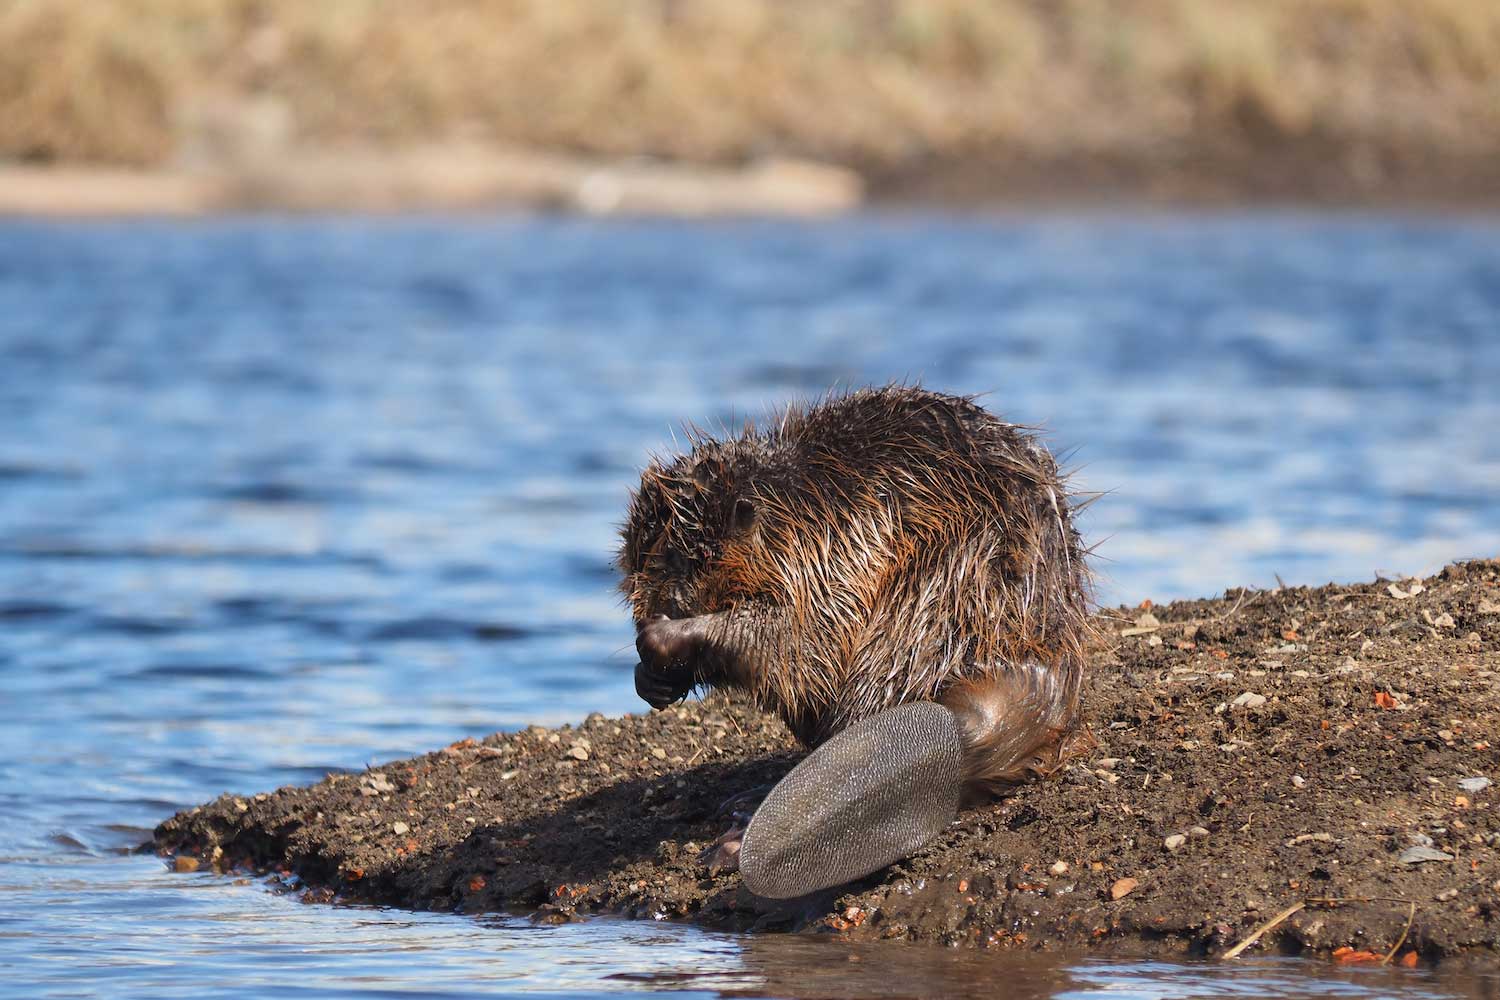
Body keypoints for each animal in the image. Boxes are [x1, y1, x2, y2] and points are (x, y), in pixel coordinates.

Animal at [615, 386, 1098, 899]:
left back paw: (735, 838)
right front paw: (651, 677)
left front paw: (664, 638)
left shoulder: (828, 552)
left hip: (933, 596)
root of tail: (958, 729)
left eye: (688, 557)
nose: (656, 611)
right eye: (638, 556)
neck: (793, 498)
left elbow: (797, 643)